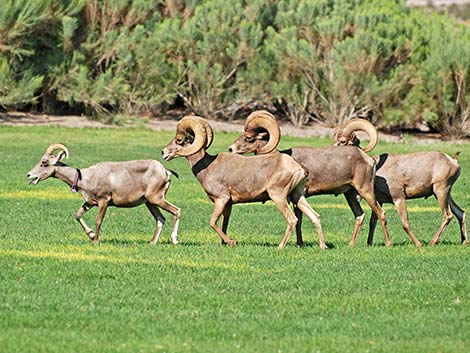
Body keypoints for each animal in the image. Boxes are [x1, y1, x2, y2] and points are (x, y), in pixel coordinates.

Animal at [27, 143, 180, 245]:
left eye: (44, 163)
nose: (29, 175)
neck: (87, 177)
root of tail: (166, 172)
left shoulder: (104, 202)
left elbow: (98, 221)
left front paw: (95, 241)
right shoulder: (89, 203)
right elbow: (78, 215)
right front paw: (91, 235)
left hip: (156, 199)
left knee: (176, 211)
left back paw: (174, 240)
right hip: (150, 203)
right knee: (160, 219)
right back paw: (152, 243)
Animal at [162, 115, 326, 248]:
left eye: (179, 141)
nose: (163, 153)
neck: (207, 167)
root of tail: (299, 168)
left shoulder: (221, 199)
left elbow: (213, 222)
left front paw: (232, 242)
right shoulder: (228, 205)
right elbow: (224, 224)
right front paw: (224, 244)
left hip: (279, 197)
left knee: (292, 220)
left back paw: (280, 247)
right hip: (298, 196)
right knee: (315, 216)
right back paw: (322, 246)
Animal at [229, 110, 392, 245]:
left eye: (248, 138)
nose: (231, 149)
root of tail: (369, 160)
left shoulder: (296, 197)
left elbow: (299, 220)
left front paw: (299, 243)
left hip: (365, 191)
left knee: (380, 213)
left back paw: (387, 243)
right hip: (350, 194)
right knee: (360, 215)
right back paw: (351, 244)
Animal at [334, 120, 466, 245]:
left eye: (342, 141)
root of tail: (453, 161)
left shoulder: (399, 198)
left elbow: (405, 223)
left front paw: (418, 244)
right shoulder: (379, 201)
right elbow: (373, 222)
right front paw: (369, 243)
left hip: (440, 191)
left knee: (448, 216)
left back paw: (432, 242)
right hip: (445, 194)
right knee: (460, 213)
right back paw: (464, 242)